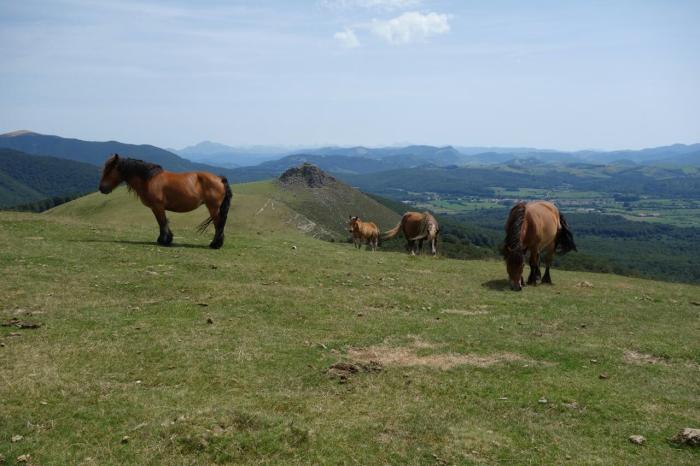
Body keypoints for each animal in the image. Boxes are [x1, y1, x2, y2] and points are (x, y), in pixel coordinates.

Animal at [98, 154, 232, 249]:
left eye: (109, 170)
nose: (101, 188)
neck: (149, 179)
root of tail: (219, 179)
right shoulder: (157, 208)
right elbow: (163, 222)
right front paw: (167, 239)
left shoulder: (158, 206)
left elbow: (162, 222)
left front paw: (164, 240)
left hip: (213, 207)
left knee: (218, 224)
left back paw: (215, 244)